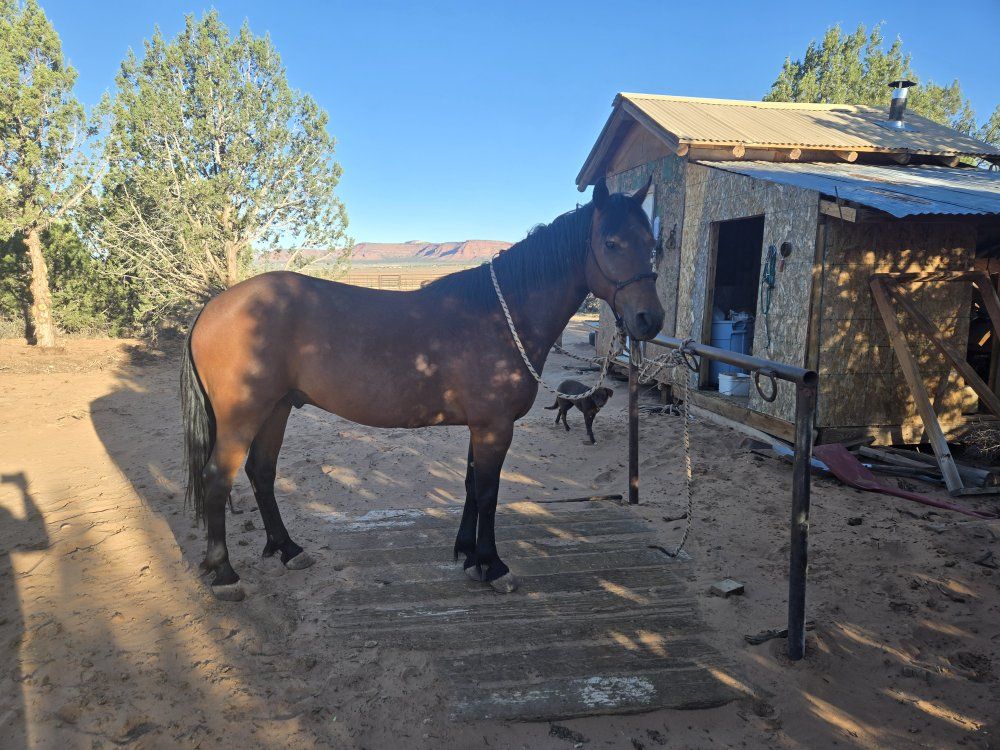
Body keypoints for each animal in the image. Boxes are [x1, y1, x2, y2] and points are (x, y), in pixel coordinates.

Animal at [181, 177, 665, 601]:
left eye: (652, 244)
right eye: (611, 243)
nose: (650, 320)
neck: (498, 315)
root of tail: (214, 307)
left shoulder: (481, 426)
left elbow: (471, 486)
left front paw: (469, 555)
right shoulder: (494, 426)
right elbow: (488, 493)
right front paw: (493, 565)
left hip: (277, 409)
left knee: (261, 473)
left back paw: (288, 550)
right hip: (243, 416)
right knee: (217, 478)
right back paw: (225, 574)